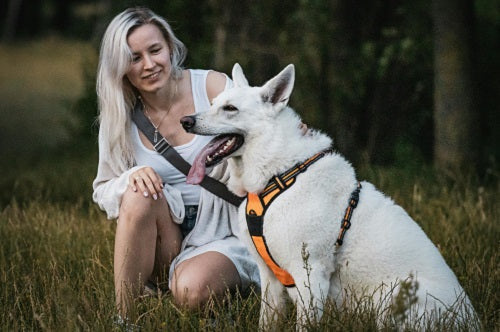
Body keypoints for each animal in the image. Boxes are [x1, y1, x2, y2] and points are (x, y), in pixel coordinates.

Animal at [182, 63, 478, 328]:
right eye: (214, 103)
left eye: (230, 109)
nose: (185, 121)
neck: (280, 175)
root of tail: (472, 321)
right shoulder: (270, 279)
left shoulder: (310, 275)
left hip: (391, 298)